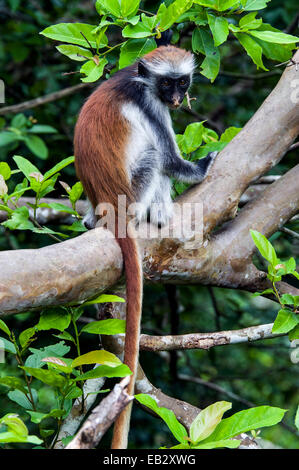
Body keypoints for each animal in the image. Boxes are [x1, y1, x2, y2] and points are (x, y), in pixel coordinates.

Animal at [74, 46, 217, 450]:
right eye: (166, 84)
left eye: (182, 82)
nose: (176, 98)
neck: (135, 79)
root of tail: (109, 206)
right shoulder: (150, 105)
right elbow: (171, 161)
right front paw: (204, 164)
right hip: (135, 193)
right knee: (155, 158)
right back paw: (160, 213)